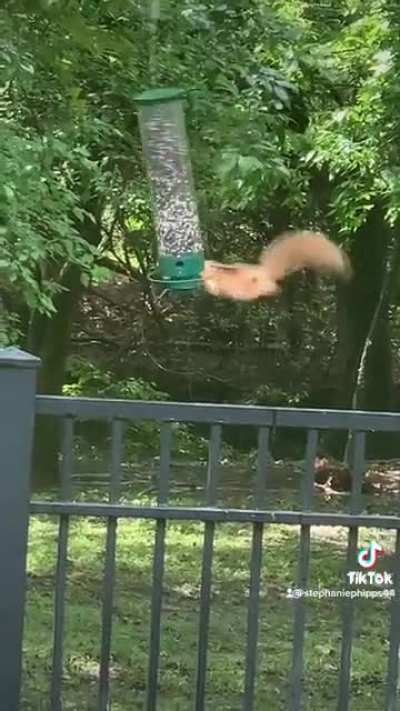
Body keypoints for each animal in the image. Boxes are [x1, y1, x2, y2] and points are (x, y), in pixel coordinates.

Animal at [201, 230, 352, 301]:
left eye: (209, 267)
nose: (203, 272)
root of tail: (269, 272)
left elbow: (213, 286)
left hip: (262, 287)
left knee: (275, 289)